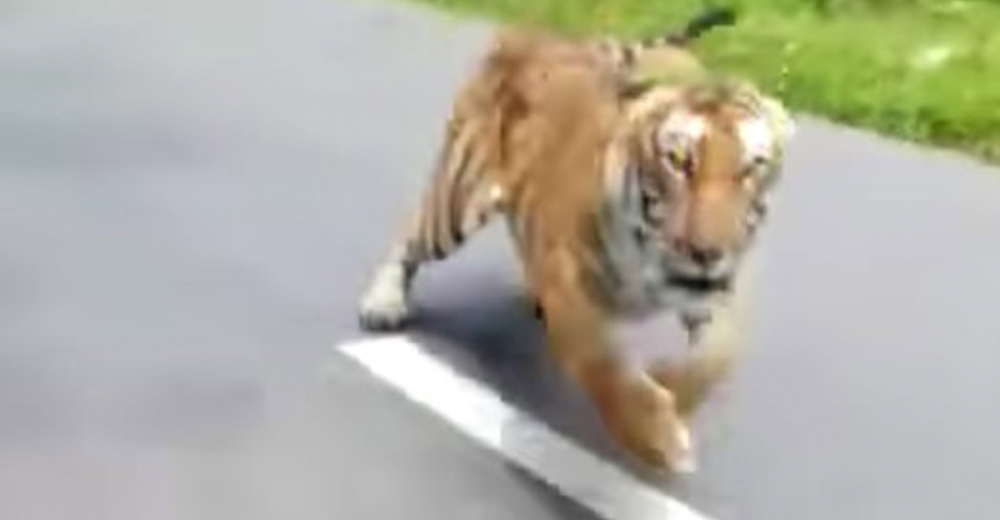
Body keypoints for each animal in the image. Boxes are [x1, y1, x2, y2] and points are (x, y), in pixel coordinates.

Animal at [356, 7, 792, 476]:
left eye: (752, 167)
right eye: (679, 161)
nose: (707, 251)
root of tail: (534, 30)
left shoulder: (722, 292)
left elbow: (714, 359)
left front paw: (672, 389)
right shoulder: (570, 286)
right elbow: (601, 366)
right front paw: (658, 437)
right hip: (457, 199)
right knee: (411, 233)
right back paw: (382, 304)